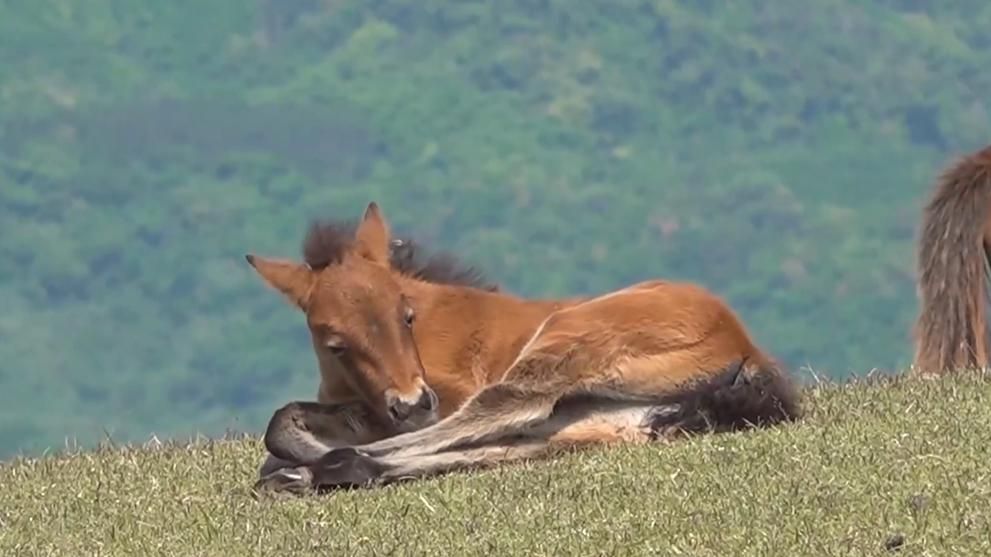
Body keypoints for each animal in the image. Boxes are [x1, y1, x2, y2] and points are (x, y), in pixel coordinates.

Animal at [246, 202, 802, 493]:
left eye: (406, 315)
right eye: (335, 343)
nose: (413, 403)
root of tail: (746, 348)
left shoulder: (434, 398)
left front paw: (300, 462)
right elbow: (284, 421)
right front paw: (295, 461)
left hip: (569, 339)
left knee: (508, 409)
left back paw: (324, 467)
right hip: (599, 419)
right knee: (513, 441)